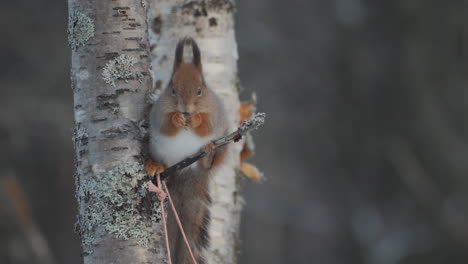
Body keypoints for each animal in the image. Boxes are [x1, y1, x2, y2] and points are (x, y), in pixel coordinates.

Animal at [145, 37, 228, 264]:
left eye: (200, 90)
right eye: (172, 90)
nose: (185, 109)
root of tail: (185, 171)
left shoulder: (214, 113)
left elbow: (206, 125)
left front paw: (197, 119)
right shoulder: (159, 113)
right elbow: (167, 124)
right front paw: (176, 119)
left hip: (222, 147)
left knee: (210, 162)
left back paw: (208, 154)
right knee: (163, 164)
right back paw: (156, 166)